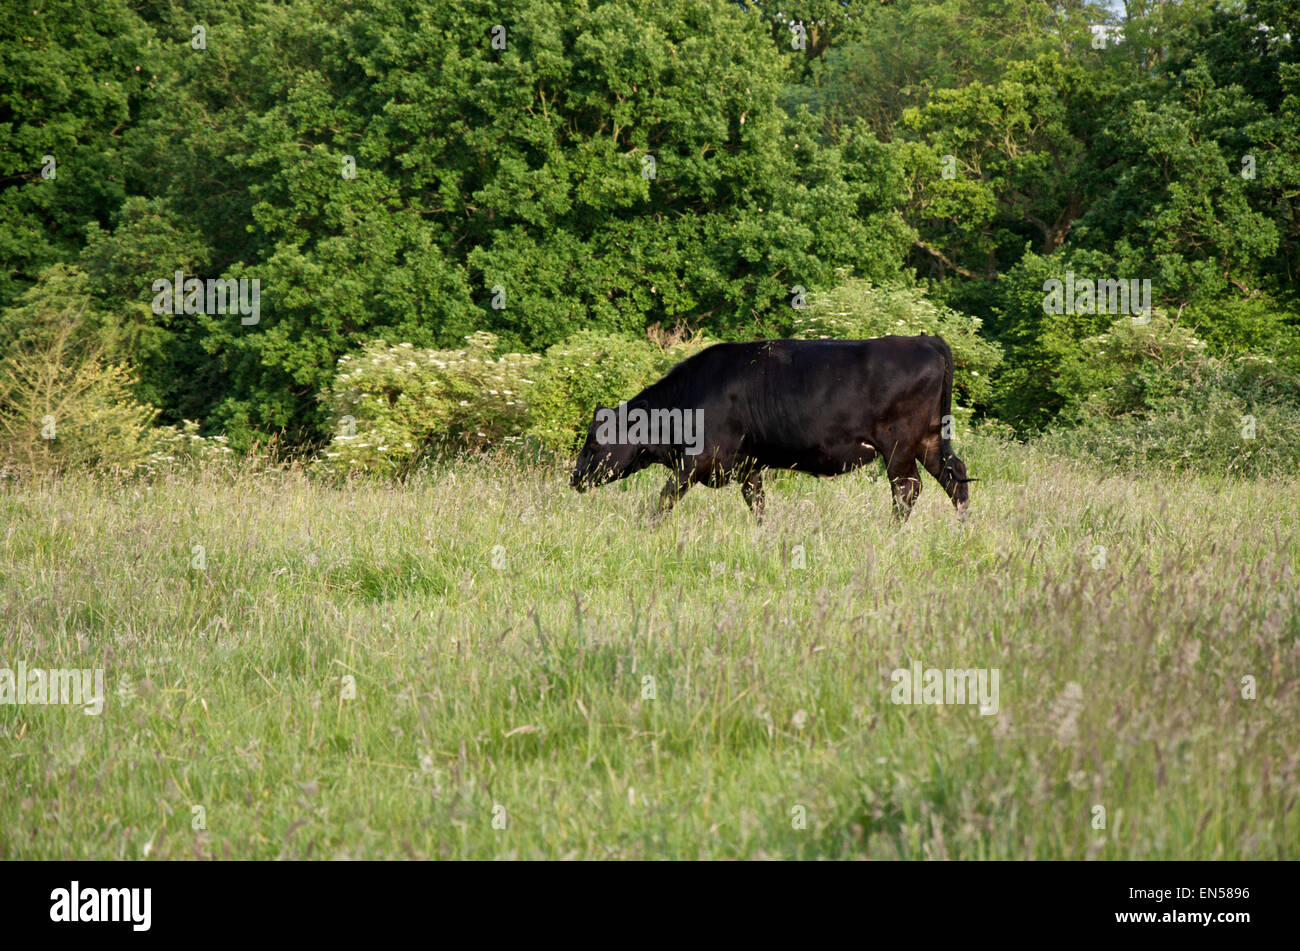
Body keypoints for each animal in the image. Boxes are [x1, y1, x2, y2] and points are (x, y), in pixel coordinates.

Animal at [569, 335, 975, 522]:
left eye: (594, 442)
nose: (573, 477)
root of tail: (924, 340)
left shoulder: (697, 460)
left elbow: (665, 498)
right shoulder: (749, 465)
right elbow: (758, 504)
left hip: (899, 446)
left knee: (907, 489)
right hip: (928, 440)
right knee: (954, 476)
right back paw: (963, 526)